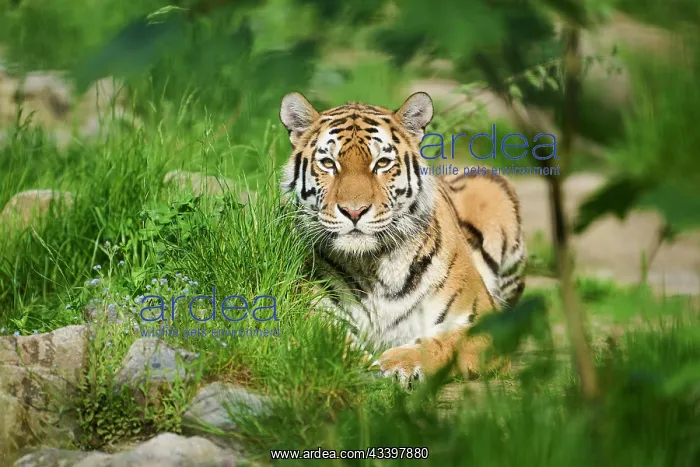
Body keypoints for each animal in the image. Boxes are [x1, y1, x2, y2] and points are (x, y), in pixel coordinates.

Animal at [278, 91, 526, 386]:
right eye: (328, 163)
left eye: (382, 163)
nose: (354, 211)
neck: (373, 266)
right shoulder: (308, 312)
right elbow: (328, 343)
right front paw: (354, 364)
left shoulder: (486, 322)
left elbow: (444, 344)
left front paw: (398, 364)